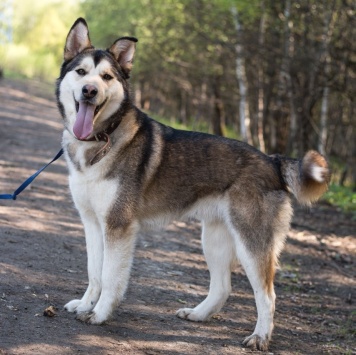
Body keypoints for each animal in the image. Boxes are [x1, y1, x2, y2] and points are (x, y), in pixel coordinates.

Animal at [56, 18, 330, 352]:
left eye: (106, 76)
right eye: (81, 72)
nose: (89, 90)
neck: (100, 138)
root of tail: (272, 160)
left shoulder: (118, 227)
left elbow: (109, 278)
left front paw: (99, 314)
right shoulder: (93, 224)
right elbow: (94, 273)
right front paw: (85, 305)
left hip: (251, 243)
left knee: (268, 295)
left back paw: (260, 337)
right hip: (213, 238)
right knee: (222, 287)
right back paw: (199, 314)